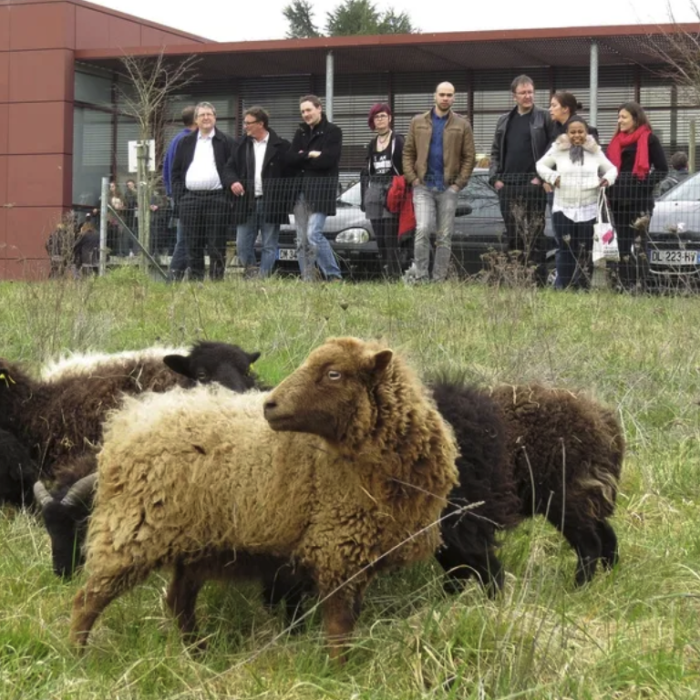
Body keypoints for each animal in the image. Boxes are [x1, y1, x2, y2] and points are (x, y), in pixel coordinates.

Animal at [69, 340, 460, 660]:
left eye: (333, 373)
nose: (269, 405)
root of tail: (129, 420)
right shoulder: (335, 545)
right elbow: (339, 625)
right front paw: (338, 670)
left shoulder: (360, 553)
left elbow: (349, 617)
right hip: (133, 529)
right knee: (88, 599)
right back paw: (78, 657)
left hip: (195, 543)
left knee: (178, 600)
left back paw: (198, 654)